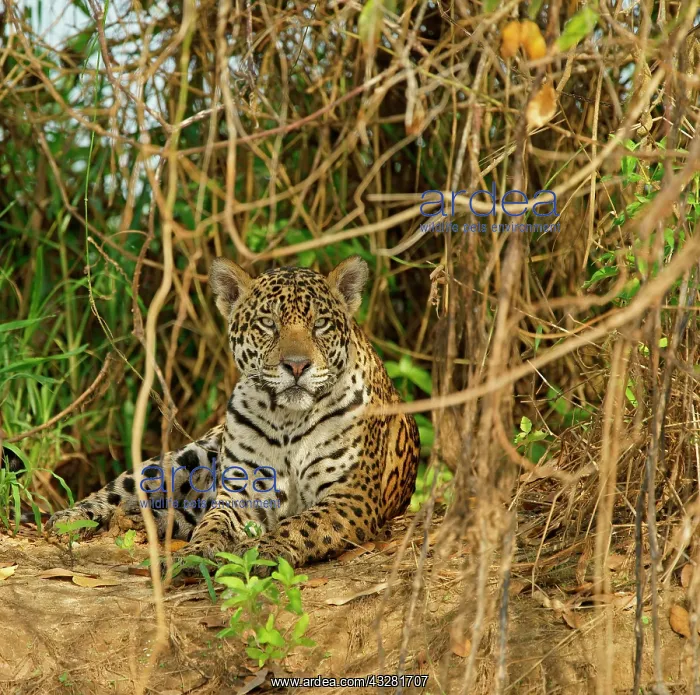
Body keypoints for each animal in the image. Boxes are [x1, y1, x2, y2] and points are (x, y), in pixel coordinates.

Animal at [46, 256, 420, 573]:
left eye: (321, 325)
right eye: (268, 324)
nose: (297, 365)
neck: (289, 419)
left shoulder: (350, 496)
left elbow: (300, 525)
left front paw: (262, 549)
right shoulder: (241, 493)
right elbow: (214, 524)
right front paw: (196, 552)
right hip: (187, 456)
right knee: (124, 490)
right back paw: (71, 518)